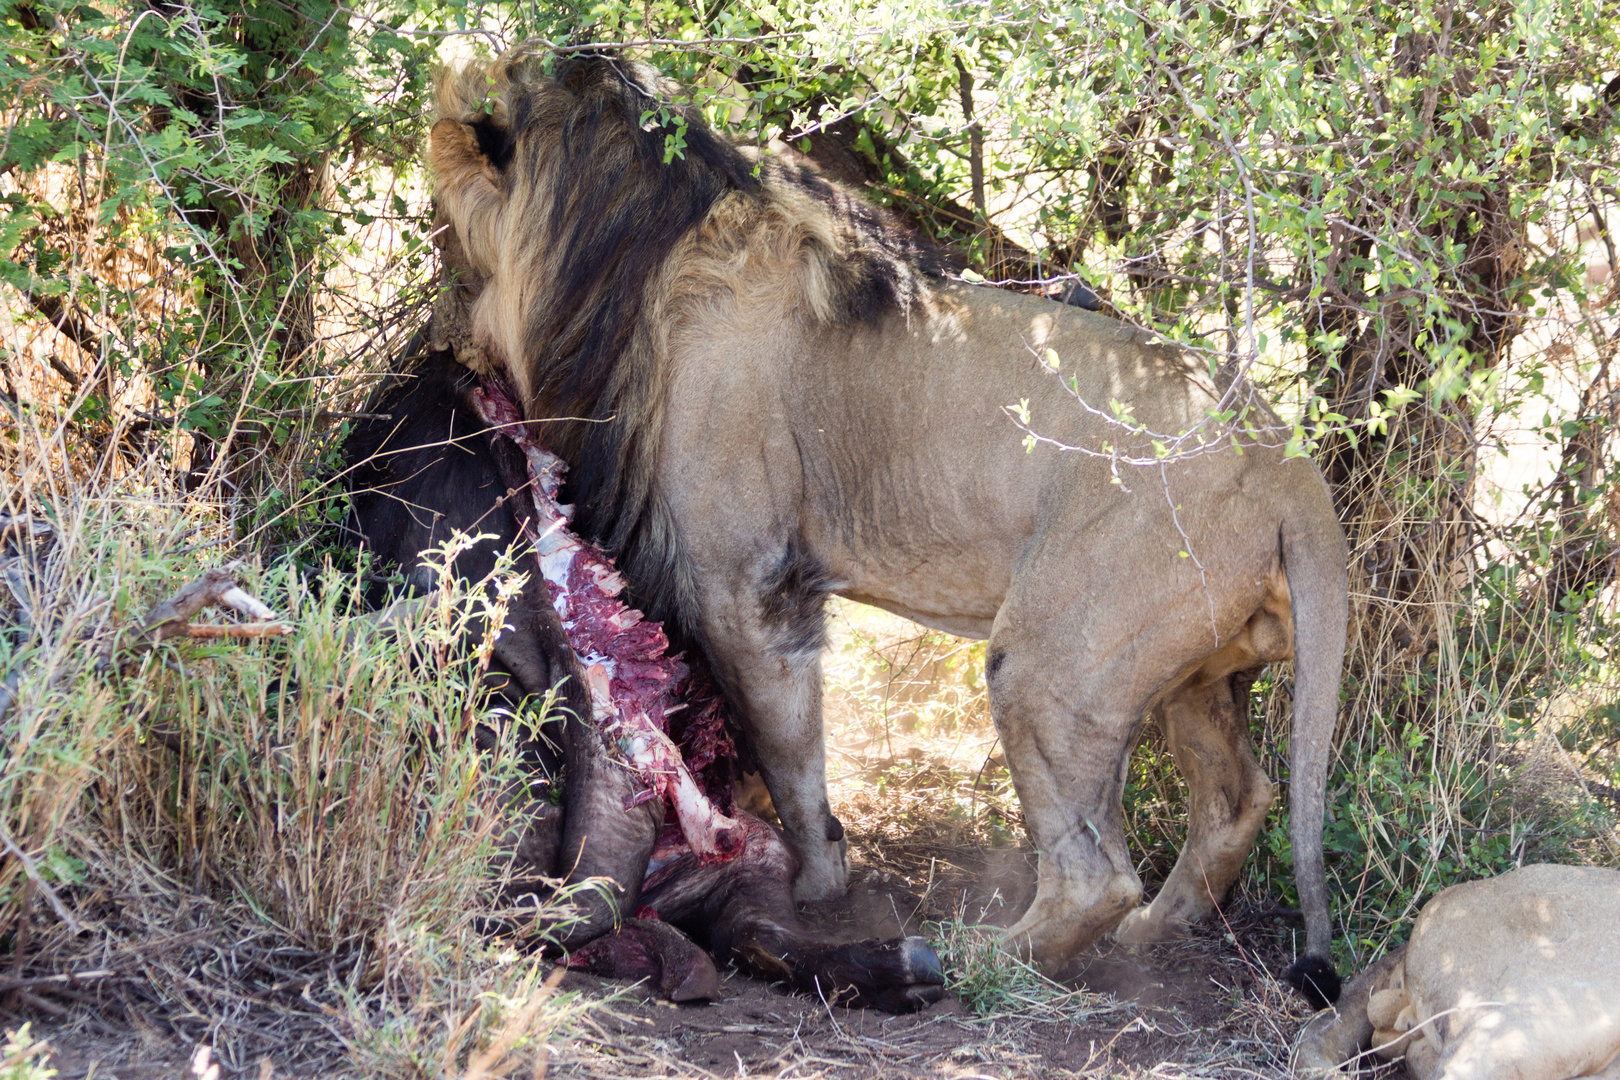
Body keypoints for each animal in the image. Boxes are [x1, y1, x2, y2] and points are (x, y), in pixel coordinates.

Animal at [424, 48, 1347, 997]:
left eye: (444, 234)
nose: (435, 330)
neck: (618, 245)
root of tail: (1287, 464)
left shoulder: (742, 585)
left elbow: (787, 750)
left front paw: (817, 880)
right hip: (1194, 674)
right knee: (1239, 799)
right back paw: (1154, 929)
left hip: (1048, 662)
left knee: (1097, 876)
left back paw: (984, 957)